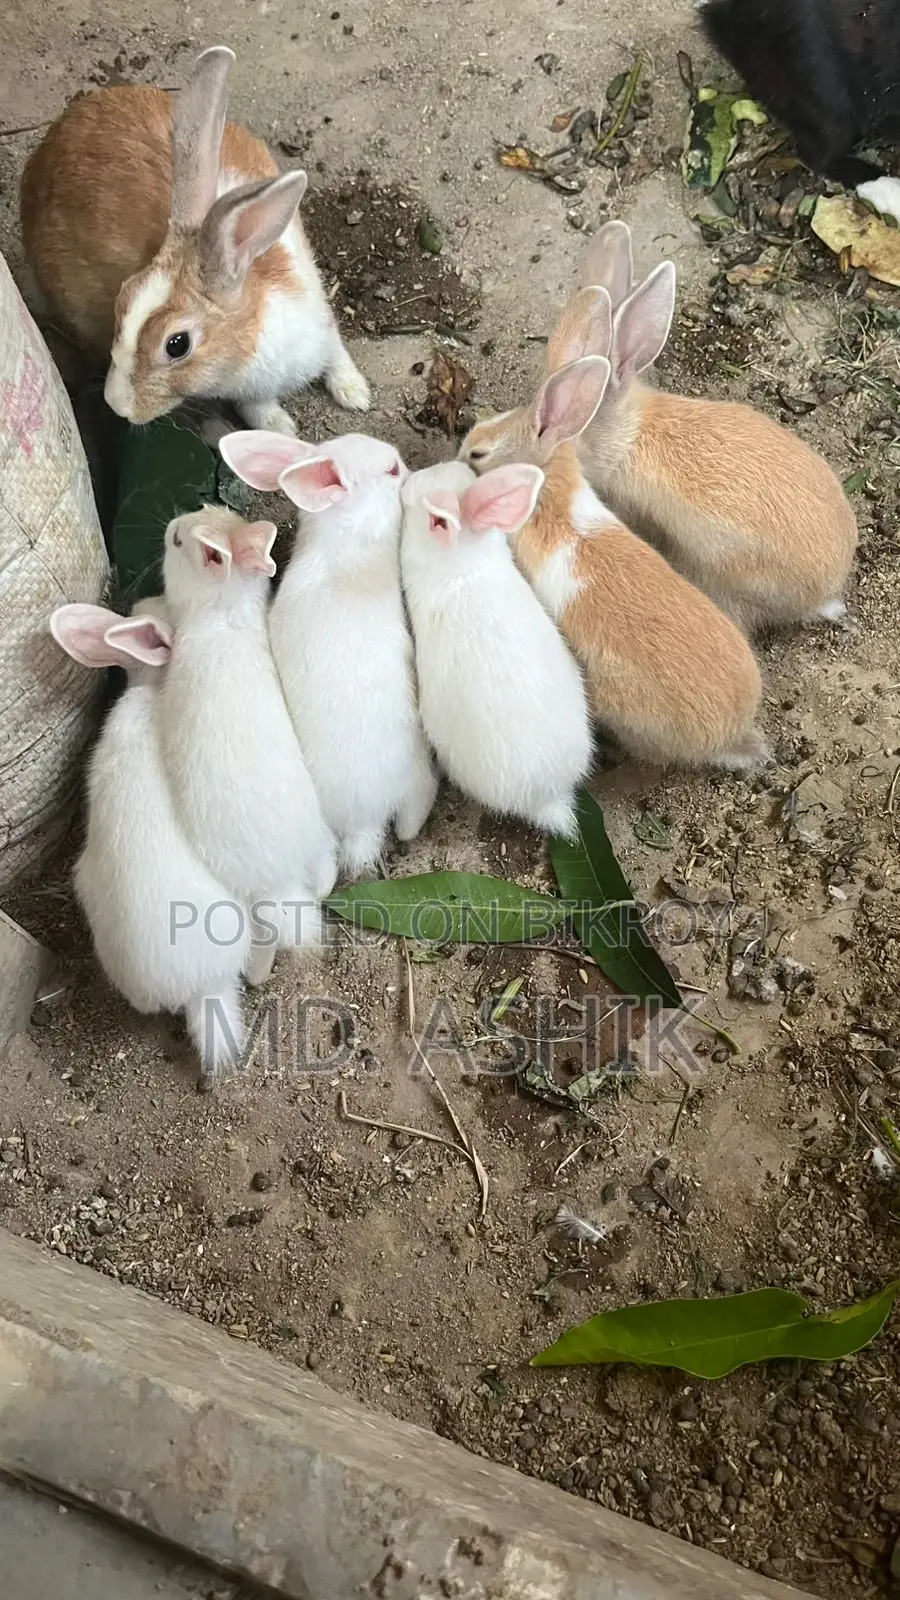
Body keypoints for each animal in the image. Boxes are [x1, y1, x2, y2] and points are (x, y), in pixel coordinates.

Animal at [20, 45, 370, 435]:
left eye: (177, 345)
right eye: (121, 300)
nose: (116, 403)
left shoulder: (322, 325)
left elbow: (337, 354)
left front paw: (356, 393)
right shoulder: (250, 392)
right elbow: (258, 409)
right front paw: (282, 428)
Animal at [219, 429, 438, 880]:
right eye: (391, 470)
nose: (408, 470)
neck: (344, 537)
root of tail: (363, 825)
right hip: (416, 781)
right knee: (411, 822)